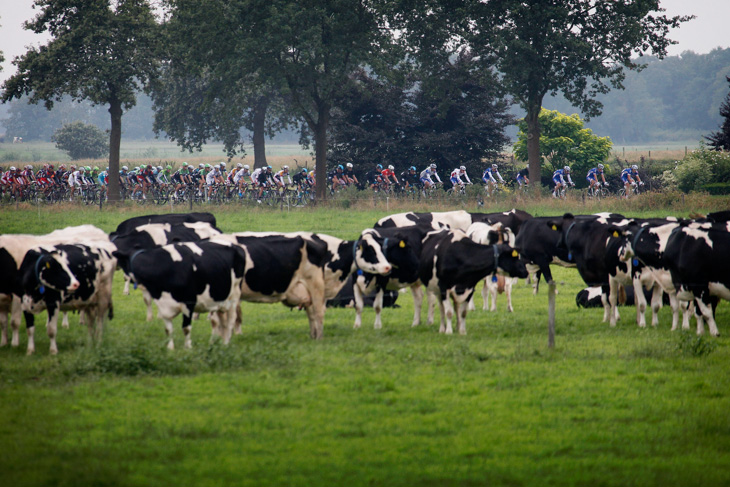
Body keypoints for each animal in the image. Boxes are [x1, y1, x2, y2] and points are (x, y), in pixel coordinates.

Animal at [114, 240, 245, 350]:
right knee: (221, 322)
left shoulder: (189, 302)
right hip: (219, 299)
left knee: (230, 321)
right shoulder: (163, 304)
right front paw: (170, 348)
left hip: (234, 297)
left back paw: (226, 344)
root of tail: (235, 245)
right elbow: (168, 329)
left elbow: (186, 328)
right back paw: (217, 342)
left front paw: (187, 348)